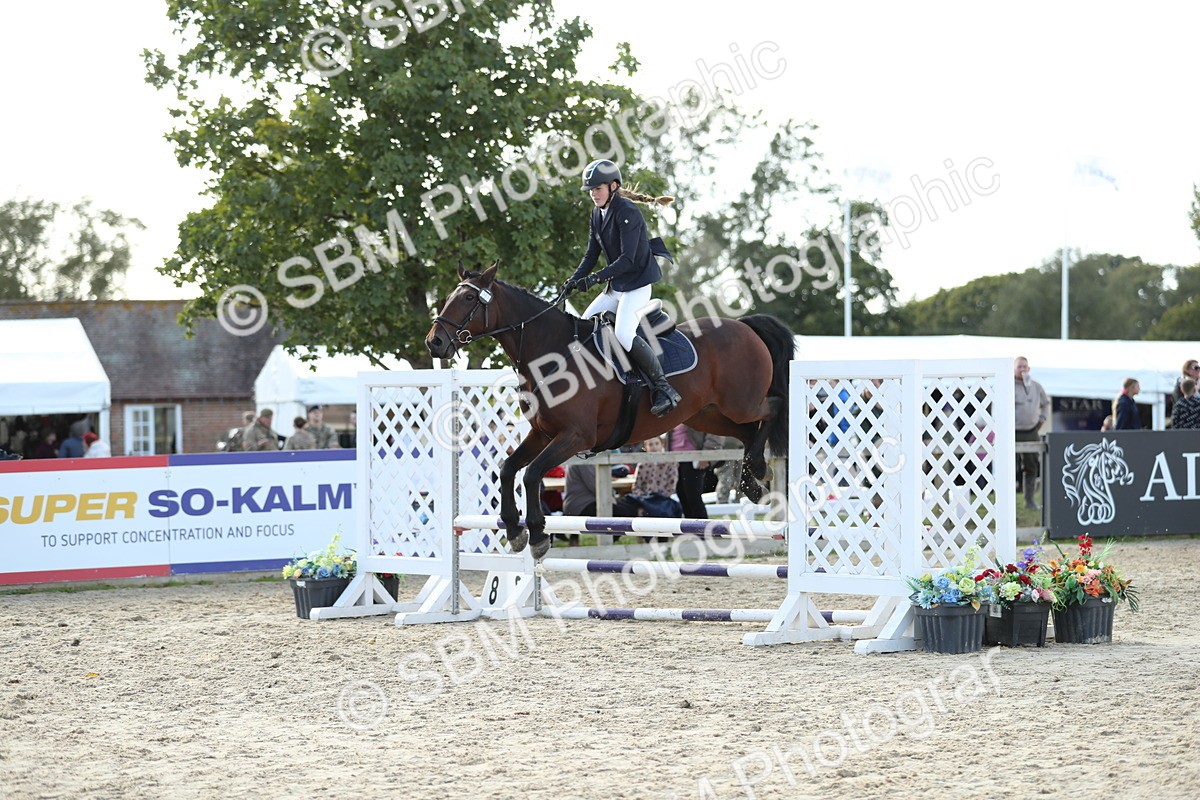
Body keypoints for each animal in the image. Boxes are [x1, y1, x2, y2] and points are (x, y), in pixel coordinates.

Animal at [426, 263, 795, 559]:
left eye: (469, 299)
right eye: (448, 298)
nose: (435, 342)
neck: (552, 354)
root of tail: (744, 324)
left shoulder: (576, 436)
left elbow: (531, 474)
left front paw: (539, 535)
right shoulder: (542, 433)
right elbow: (507, 469)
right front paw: (516, 532)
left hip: (741, 403)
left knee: (773, 408)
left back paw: (757, 470)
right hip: (708, 414)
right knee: (747, 433)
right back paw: (753, 480)